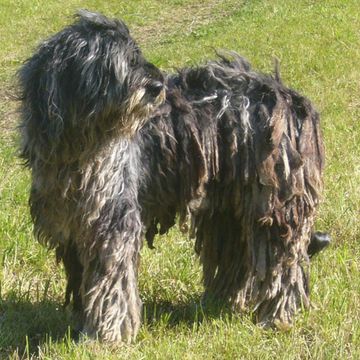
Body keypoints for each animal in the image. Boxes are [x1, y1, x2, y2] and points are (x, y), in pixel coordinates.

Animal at [17, 10, 330, 344]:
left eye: (136, 56)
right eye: (119, 63)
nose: (156, 86)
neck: (80, 146)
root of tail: (292, 99)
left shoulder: (113, 222)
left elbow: (111, 283)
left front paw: (107, 335)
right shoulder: (73, 228)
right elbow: (83, 281)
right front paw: (82, 325)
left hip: (273, 204)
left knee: (283, 264)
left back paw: (277, 316)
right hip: (228, 208)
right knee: (237, 255)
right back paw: (223, 301)